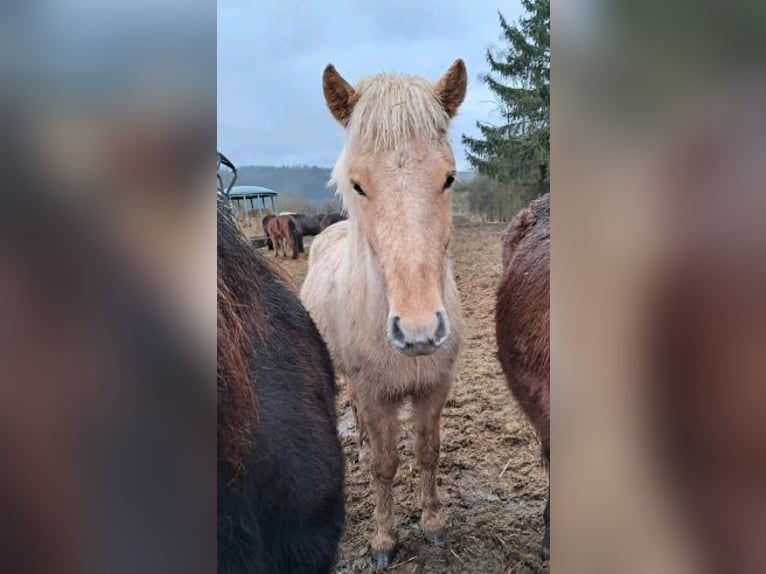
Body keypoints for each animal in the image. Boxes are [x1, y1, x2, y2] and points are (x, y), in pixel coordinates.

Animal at [300, 60, 468, 568]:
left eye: (449, 178)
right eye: (358, 184)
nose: (418, 331)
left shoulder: (433, 389)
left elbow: (428, 452)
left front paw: (432, 523)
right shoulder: (377, 397)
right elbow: (384, 464)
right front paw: (383, 540)